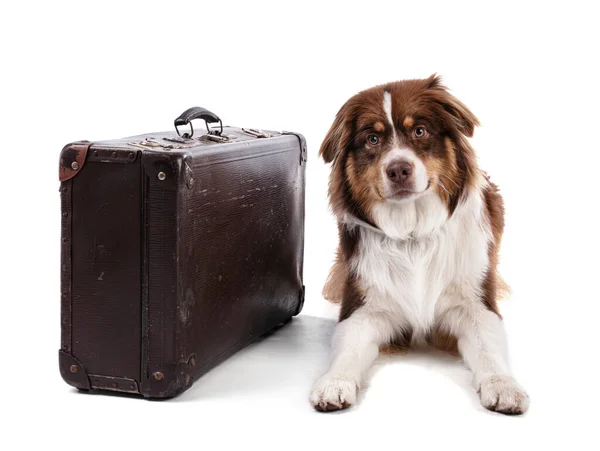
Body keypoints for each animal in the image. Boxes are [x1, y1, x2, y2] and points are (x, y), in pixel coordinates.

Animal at [312, 75, 528, 416]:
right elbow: (347, 349)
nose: (398, 169)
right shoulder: (364, 305)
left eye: (420, 131)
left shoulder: (475, 302)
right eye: (372, 139)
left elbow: (488, 348)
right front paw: (334, 382)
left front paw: (503, 385)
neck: (413, 235)